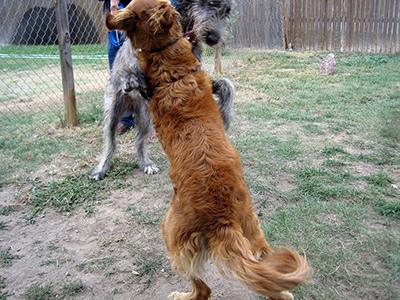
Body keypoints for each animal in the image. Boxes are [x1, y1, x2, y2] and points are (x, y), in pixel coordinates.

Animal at [91, 0, 234, 179]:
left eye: (227, 11)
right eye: (211, 3)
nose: (214, 38)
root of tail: (130, 105)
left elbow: (227, 85)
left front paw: (225, 116)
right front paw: (133, 78)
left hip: (145, 118)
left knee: (139, 140)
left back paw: (146, 163)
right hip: (113, 112)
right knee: (110, 142)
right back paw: (102, 168)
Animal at [105, 1, 310, 298]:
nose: (213, 38)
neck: (170, 56)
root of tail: (222, 219)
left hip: (171, 234)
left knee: (202, 288)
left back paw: (182, 294)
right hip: (254, 232)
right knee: (274, 282)